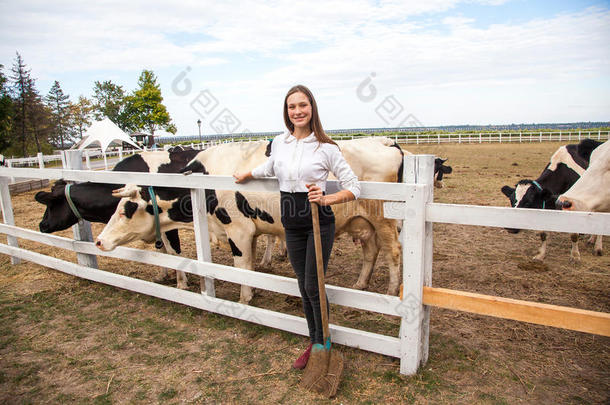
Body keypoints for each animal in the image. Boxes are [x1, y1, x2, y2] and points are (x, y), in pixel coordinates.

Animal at [34, 149, 200, 288]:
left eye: (51, 204)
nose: (42, 225)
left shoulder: (168, 224)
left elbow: (173, 251)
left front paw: (182, 283)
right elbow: (162, 251)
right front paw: (162, 275)